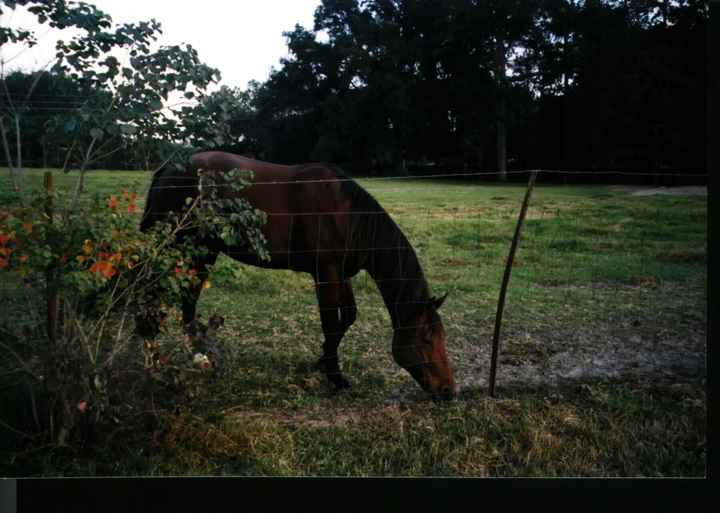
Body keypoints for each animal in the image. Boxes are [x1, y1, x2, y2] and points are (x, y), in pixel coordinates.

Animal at [140, 151, 457, 399]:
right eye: (426, 338)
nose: (448, 391)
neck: (348, 214)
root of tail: (169, 168)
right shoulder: (325, 272)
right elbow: (331, 321)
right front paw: (335, 378)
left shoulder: (341, 273)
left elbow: (347, 317)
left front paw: (322, 362)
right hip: (178, 242)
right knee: (152, 289)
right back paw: (154, 355)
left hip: (203, 249)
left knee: (188, 296)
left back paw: (196, 353)